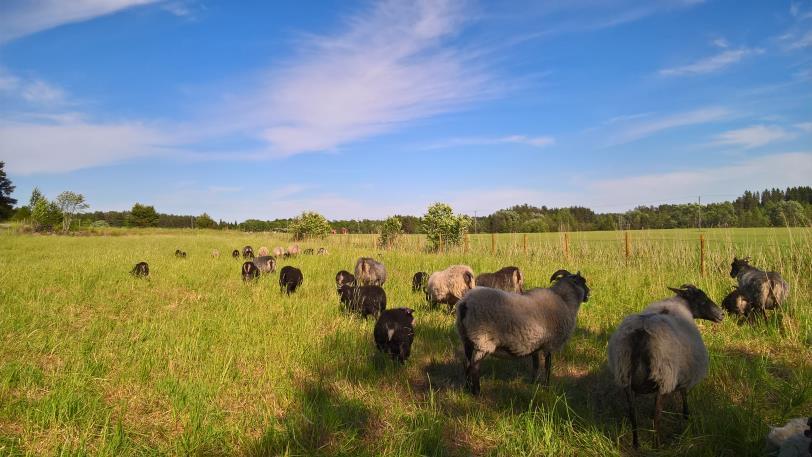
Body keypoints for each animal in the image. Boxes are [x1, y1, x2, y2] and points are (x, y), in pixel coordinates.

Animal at [454, 268, 588, 394]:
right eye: (583, 281)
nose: (588, 294)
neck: (565, 301)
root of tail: (465, 304)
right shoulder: (550, 344)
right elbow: (547, 366)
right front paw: (546, 387)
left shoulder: (536, 344)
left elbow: (536, 365)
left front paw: (533, 383)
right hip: (483, 340)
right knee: (474, 367)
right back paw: (477, 392)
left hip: (466, 338)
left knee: (467, 363)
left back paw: (467, 388)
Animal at [604, 284, 728, 448]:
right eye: (702, 299)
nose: (722, 314)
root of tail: (641, 331)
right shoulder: (684, 372)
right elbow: (684, 394)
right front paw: (686, 416)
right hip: (664, 376)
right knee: (657, 415)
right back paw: (657, 445)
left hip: (625, 375)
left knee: (632, 413)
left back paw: (636, 443)